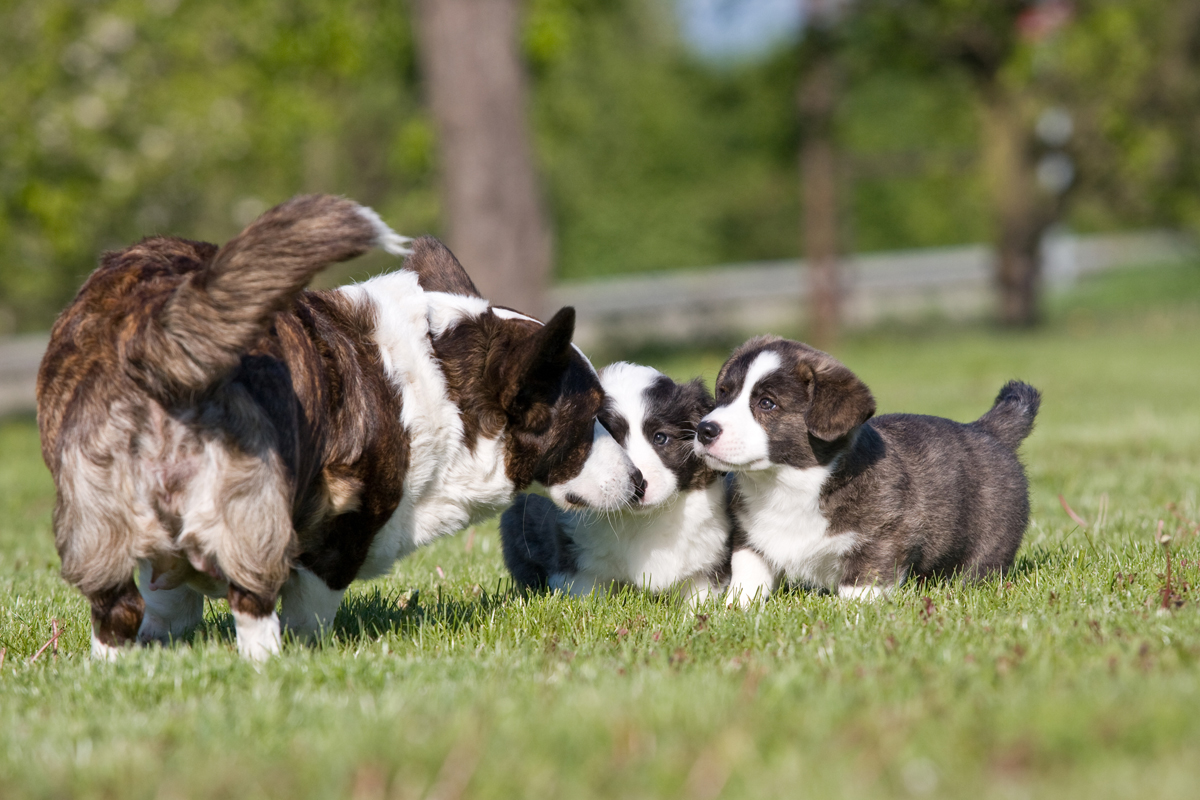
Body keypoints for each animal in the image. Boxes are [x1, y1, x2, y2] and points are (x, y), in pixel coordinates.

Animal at [35, 194, 638, 662]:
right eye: (590, 416)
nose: (637, 484)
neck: (446, 385)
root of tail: (153, 329)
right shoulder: (338, 540)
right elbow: (310, 611)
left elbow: (165, 606)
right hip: (252, 509)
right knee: (253, 605)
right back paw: (270, 669)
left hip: (96, 518)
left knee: (116, 611)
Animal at [696, 335, 1041, 606]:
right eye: (723, 393)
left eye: (767, 403)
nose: (704, 430)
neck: (786, 485)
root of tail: (987, 430)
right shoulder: (750, 539)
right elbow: (747, 579)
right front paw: (732, 609)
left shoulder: (882, 538)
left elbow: (859, 587)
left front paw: (851, 616)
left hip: (987, 547)